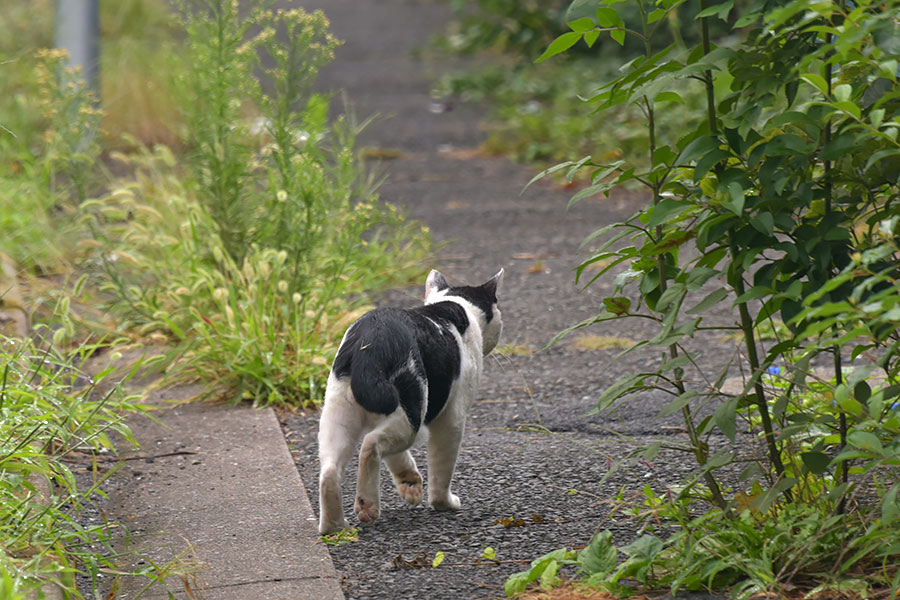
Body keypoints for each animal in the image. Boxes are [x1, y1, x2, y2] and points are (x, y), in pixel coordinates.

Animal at [316, 270, 502, 532]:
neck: (455, 304)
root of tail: (370, 344)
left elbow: (398, 459)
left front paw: (409, 483)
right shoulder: (452, 419)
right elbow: (441, 471)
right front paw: (444, 503)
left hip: (338, 413)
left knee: (330, 470)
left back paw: (335, 526)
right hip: (411, 414)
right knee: (370, 445)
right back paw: (367, 505)